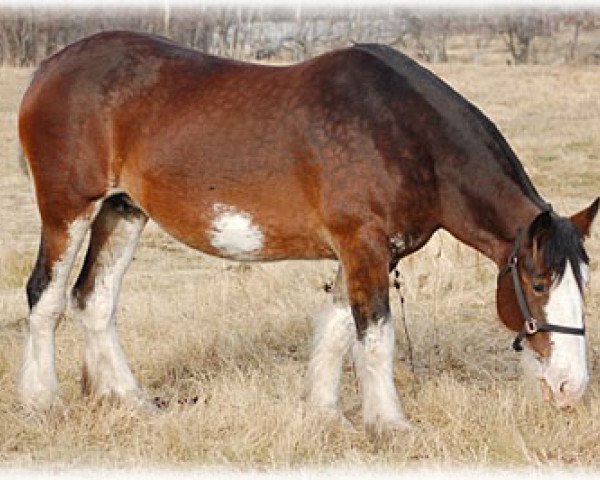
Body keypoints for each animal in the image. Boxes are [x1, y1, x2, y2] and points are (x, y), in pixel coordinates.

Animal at [17, 31, 596, 434]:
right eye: (538, 283)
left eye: (583, 284)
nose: (571, 389)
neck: (404, 133)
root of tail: (49, 68)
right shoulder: (363, 245)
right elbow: (374, 337)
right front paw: (391, 426)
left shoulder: (365, 254)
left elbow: (337, 331)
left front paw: (326, 416)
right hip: (68, 208)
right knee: (45, 295)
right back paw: (42, 400)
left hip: (123, 210)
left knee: (94, 299)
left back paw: (130, 401)